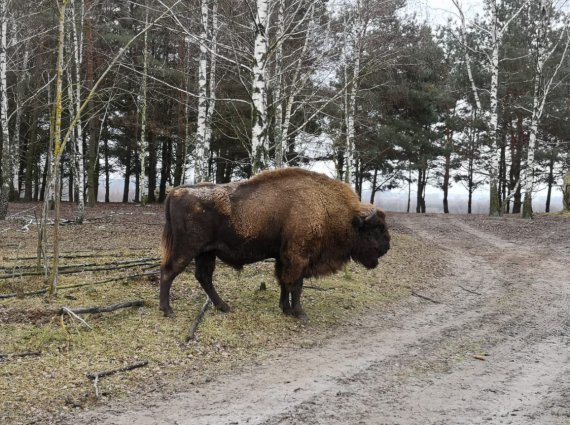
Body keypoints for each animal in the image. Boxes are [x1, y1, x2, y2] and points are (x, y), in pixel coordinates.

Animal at [160, 167, 390, 320]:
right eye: (375, 229)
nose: (387, 246)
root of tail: (176, 192)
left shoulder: (284, 258)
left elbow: (284, 282)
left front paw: (285, 309)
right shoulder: (299, 257)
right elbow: (296, 284)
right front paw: (300, 313)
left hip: (206, 252)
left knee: (204, 277)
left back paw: (224, 306)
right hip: (187, 249)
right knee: (169, 272)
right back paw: (168, 311)